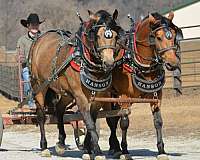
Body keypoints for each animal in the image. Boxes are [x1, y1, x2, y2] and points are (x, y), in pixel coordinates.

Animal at [29, 9, 124, 159]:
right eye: (97, 36)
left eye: (115, 36)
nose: (109, 63)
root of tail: (39, 39)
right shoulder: (80, 97)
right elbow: (90, 124)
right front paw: (97, 151)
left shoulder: (99, 98)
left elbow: (91, 120)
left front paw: (88, 148)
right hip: (39, 85)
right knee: (41, 114)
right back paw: (44, 146)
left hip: (66, 93)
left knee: (60, 109)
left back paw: (61, 142)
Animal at [106, 11, 183, 159]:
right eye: (158, 37)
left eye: (173, 35)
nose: (173, 63)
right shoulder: (124, 97)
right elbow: (124, 123)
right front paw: (125, 150)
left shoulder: (156, 96)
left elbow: (158, 121)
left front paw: (161, 150)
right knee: (110, 120)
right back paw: (113, 147)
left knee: (113, 119)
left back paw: (113, 146)